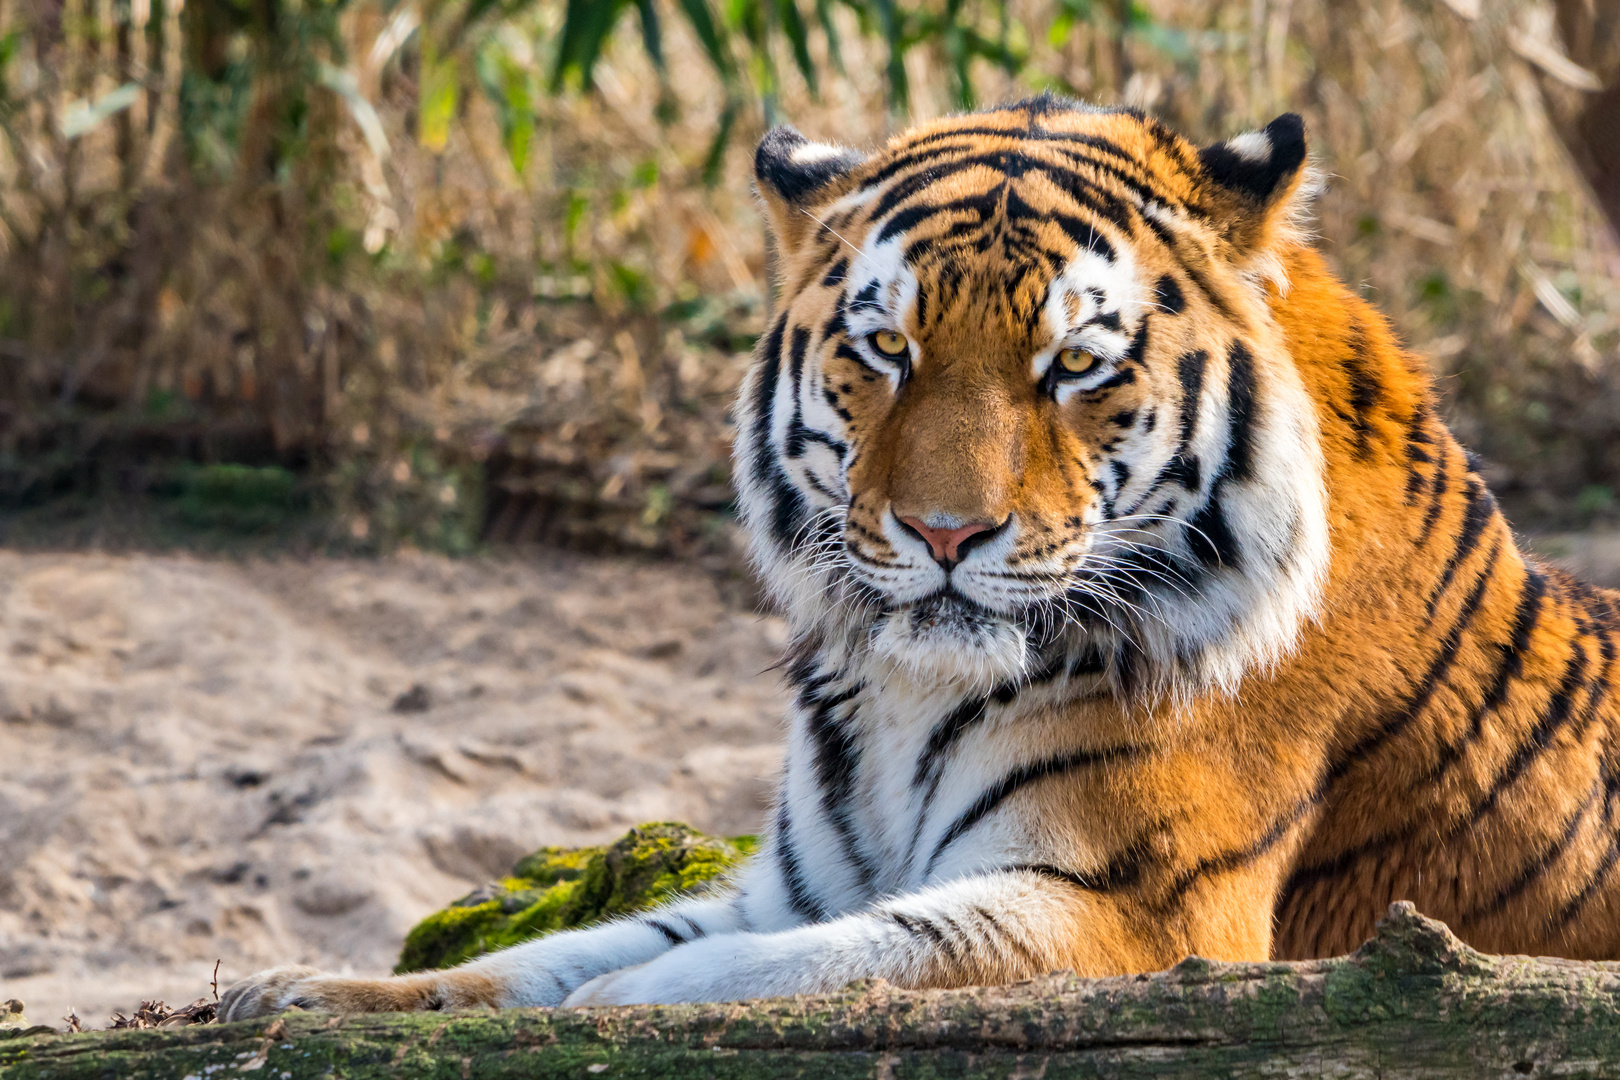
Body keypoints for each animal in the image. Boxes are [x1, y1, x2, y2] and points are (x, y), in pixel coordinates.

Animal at [220, 96, 1620, 1020]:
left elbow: (754, 970)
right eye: (887, 348)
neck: (902, 695)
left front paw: (603, 1013)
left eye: (1074, 364)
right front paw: (300, 993)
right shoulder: (790, 884)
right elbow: (550, 953)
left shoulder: (1130, 912)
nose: (946, 535)